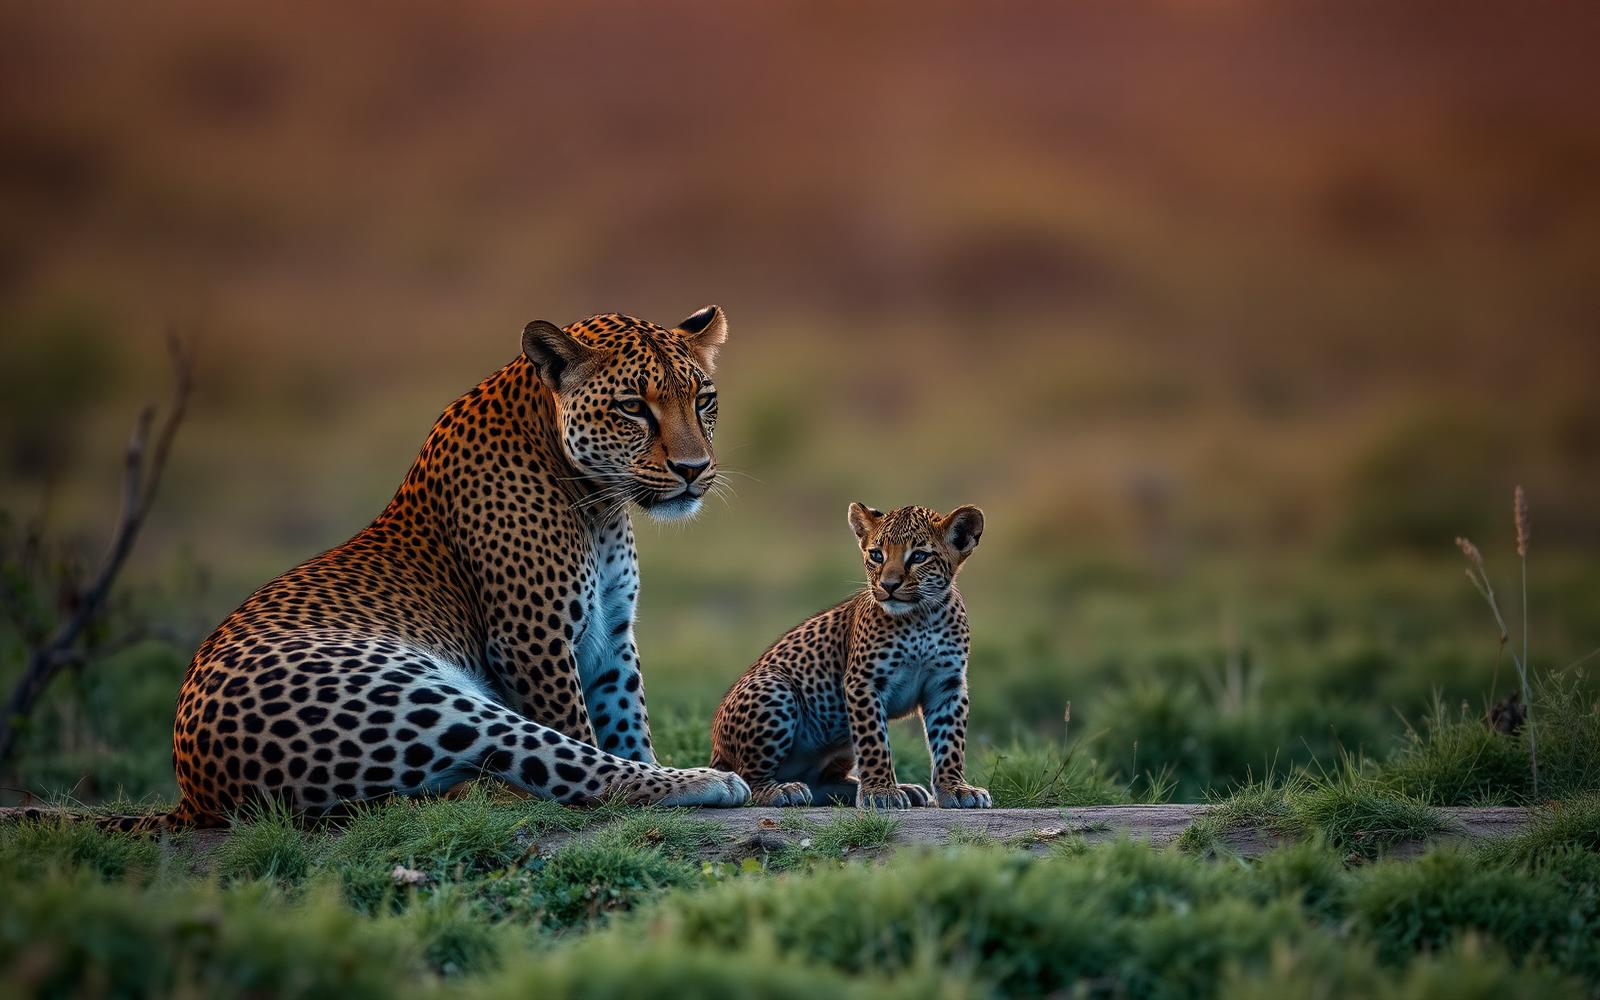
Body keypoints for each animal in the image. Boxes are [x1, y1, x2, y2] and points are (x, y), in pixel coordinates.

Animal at [32, 306, 754, 832]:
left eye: (704, 399)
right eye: (634, 406)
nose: (694, 469)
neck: (599, 503)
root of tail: (195, 793)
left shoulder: (611, 633)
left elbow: (626, 719)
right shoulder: (533, 638)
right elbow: (581, 732)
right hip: (421, 695)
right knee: (572, 768)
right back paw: (709, 780)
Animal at [710, 502, 992, 810]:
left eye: (919, 556)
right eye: (877, 555)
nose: (888, 585)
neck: (921, 617)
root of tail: (715, 753)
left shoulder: (947, 684)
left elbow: (950, 742)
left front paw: (955, 788)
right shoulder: (863, 682)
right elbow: (874, 741)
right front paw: (881, 792)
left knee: (822, 784)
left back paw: (904, 789)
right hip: (774, 688)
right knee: (748, 778)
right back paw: (781, 790)